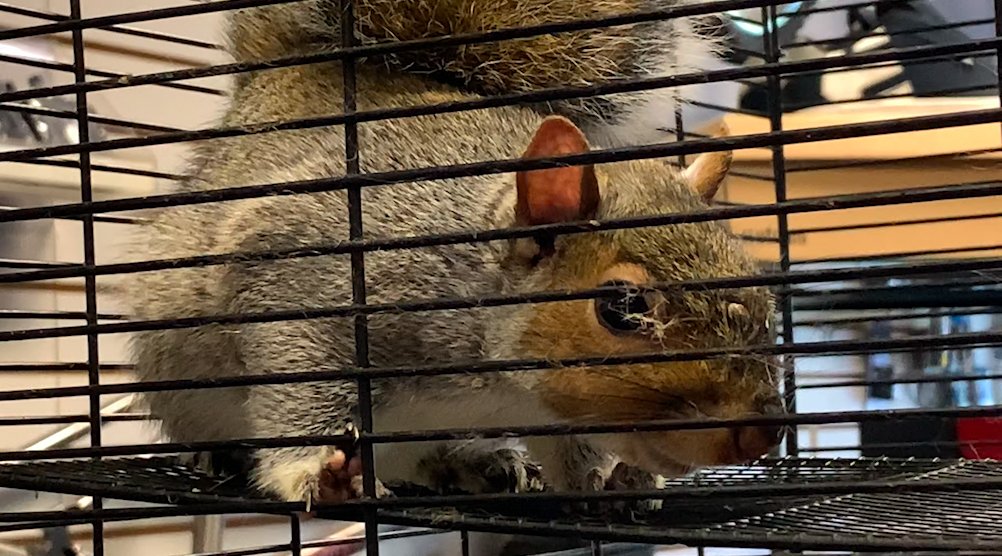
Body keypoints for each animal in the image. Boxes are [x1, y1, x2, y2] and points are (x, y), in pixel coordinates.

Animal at [127, 0, 783, 511]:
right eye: (621, 307)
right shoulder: (300, 285)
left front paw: (608, 480)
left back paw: (481, 463)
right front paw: (320, 474)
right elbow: (298, 384)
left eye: (763, 299)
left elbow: (576, 454)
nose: (763, 432)